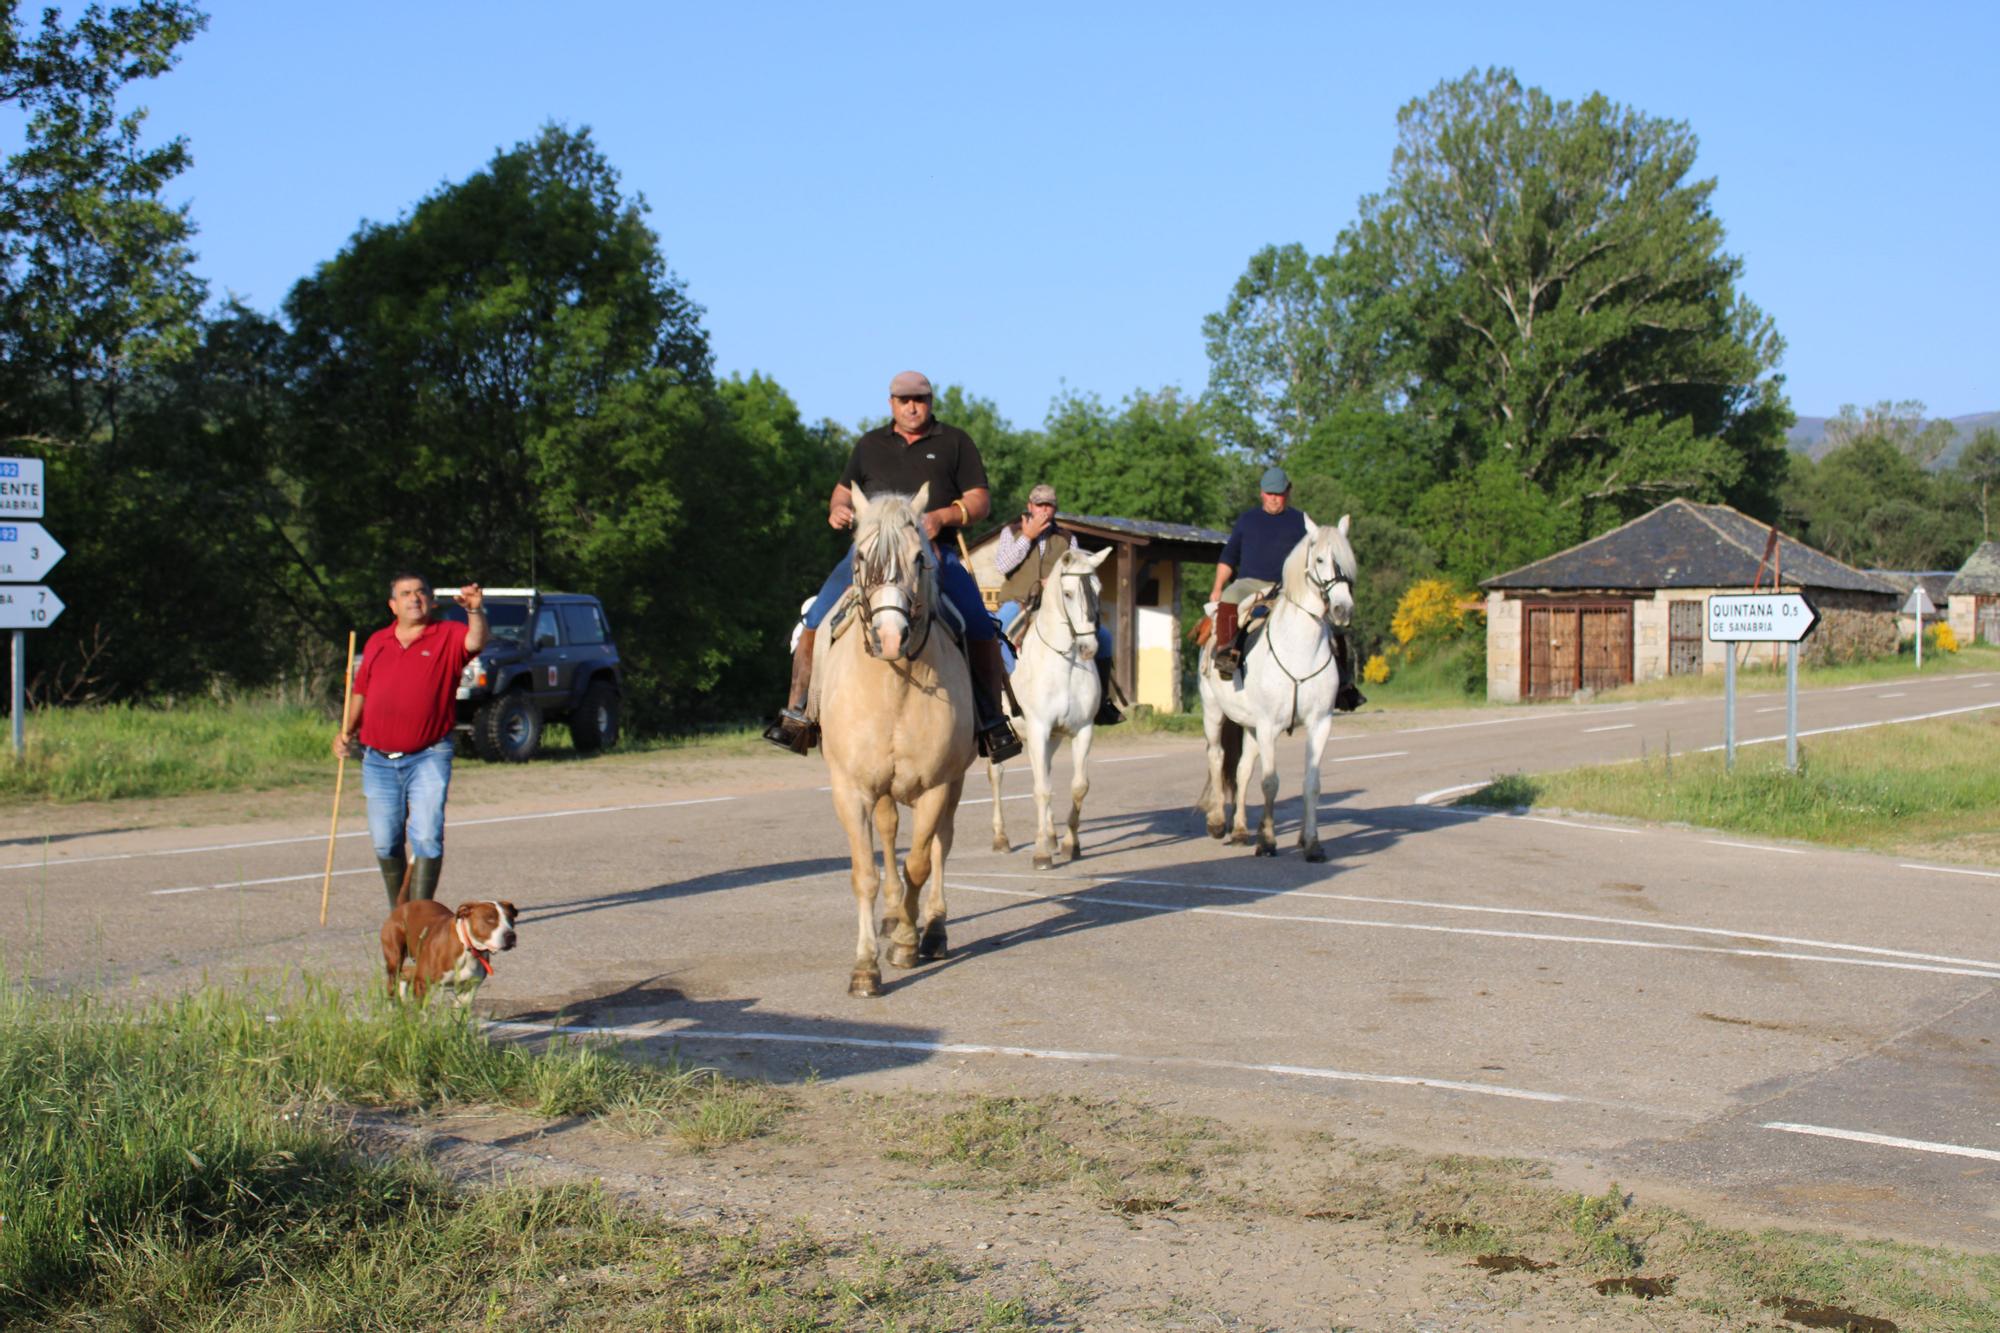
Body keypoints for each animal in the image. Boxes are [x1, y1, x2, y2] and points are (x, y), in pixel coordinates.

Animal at [376, 892, 516, 996]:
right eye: (490, 919)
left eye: (511, 919)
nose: (511, 936)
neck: (467, 948)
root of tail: (403, 906)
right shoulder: (422, 983)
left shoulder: (468, 989)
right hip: (395, 960)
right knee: (392, 982)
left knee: (405, 973)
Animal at [808, 482, 972, 992]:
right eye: (861, 556)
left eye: (920, 557)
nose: (891, 636)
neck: (893, 685)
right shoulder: (852, 788)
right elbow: (866, 873)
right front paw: (866, 967)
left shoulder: (936, 785)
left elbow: (920, 861)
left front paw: (905, 941)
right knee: (888, 833)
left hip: (952, 785)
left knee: (940, 846)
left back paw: (930, 930)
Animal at [988, 544, 1120, 868]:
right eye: (1069, 593)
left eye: (1098, 589)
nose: (1089, 648)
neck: (1064, 662)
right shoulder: (1038, 729)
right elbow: (1042, 789)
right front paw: (1041, 853)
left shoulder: (1081, 730)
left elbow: (1078, 786)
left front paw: (1070, 844)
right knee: (997, 776)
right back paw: (1001, 838)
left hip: (1054, 739)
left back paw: (1049, 834)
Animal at [1192, 512, 1368, 856]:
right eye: (1320, 559)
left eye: (1348, 560)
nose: (1342, 609)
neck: (1299, 649)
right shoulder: (1269, 725)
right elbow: (1270, 782)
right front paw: (1269, 841)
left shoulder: (1319, 723)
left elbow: (1311, 784)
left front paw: (1311, 843)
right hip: (1214, 712)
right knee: (1217, 757)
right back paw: (1218, 822)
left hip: (1248, 724)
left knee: (1242, 769)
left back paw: (1240, 830)